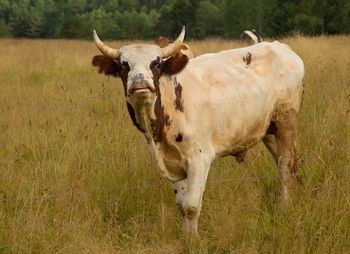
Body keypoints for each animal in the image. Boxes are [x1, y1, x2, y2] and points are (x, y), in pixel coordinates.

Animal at [91, 26, 304, 235]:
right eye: (123, 65)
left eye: (156, 64)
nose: (139, 82)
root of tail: (282, 47)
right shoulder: (172, 162)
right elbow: (181, 205)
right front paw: (185, 236)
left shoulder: (199, 159)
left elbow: (191, 206)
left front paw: (193, 239)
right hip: (269, 130)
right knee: (284, 161)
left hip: (285, 122)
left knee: (285, 164)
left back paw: (284, 206)